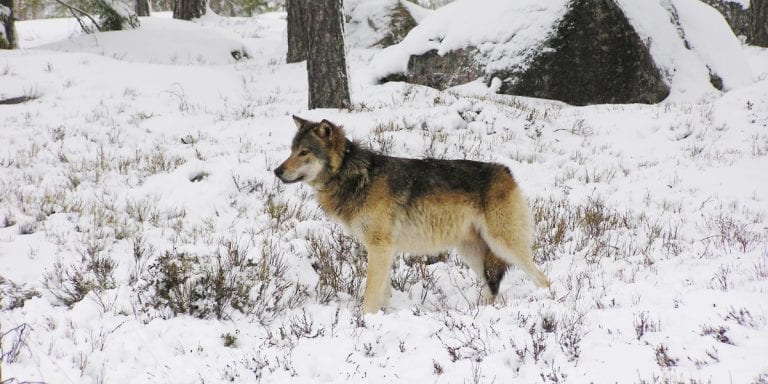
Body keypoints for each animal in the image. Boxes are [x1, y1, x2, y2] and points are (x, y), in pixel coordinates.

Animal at [276, 116, 552, 312]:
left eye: (304, 152)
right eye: (291, 150)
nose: (277, 171)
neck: (353, 175)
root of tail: (507, 171)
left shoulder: (380, 247)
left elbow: (370, 294)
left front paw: (364, 322)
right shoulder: (382, 250)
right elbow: (383, 293)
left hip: (503, 245)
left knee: (543, 279)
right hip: (471, 252)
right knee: (491, 289)